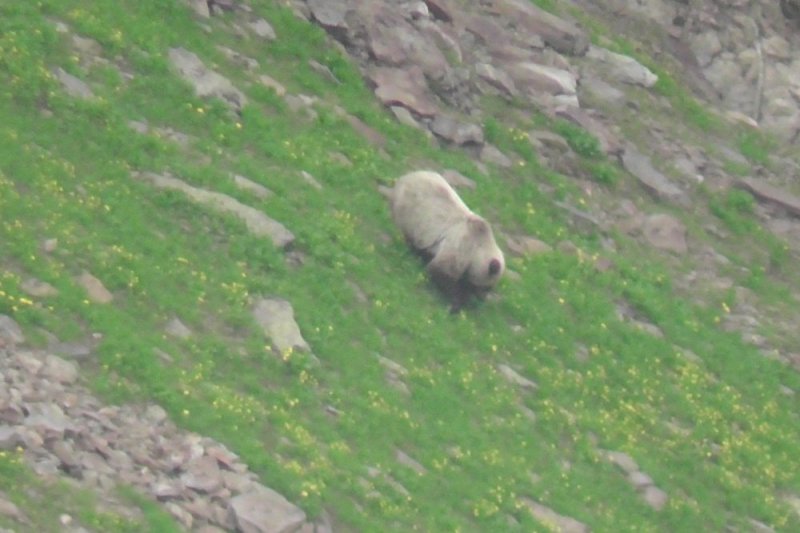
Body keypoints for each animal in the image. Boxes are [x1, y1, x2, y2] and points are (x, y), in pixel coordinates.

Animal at [384, 170, 504, 312]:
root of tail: (407, 176)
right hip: (409, 212)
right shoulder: (463, 244)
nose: (482, 298)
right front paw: (457, 303)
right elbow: (442, 270)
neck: (481, 244)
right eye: (486, 286)